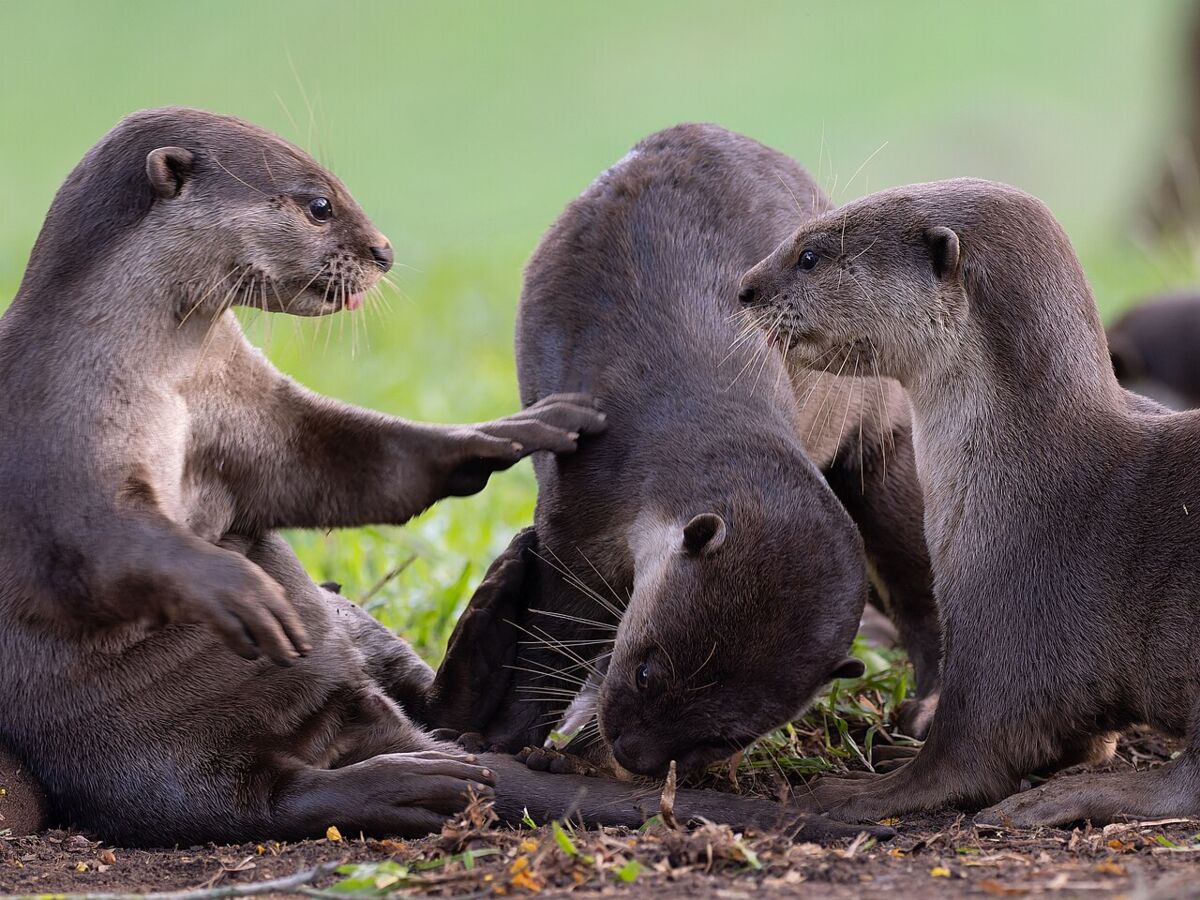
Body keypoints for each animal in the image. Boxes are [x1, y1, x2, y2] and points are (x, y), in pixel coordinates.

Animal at [0, 108, 880, 847]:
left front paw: (505, 435)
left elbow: (336, 464)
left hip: (349, 639)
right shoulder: (59, 430)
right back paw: (408, 783)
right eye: (317, 206)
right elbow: (97, 547)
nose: (383, 251)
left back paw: (489, 614)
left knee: (424, 712)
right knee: (266, 799)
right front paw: (234, 588)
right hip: (151, 756)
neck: (160, 372)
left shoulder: (242, 405)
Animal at [462, 124, 940, 777]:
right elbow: (552, 642)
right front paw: (505, 739)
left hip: (881, 442)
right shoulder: (576, 520)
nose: (637, 756)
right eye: (646, 670)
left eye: (724, 737)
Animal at [737, 176, 1200, 827]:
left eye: (810, 255)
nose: (745, 287)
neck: (1021, 468)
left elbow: (967, 758)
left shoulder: (1008, 620)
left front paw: (853, 791)